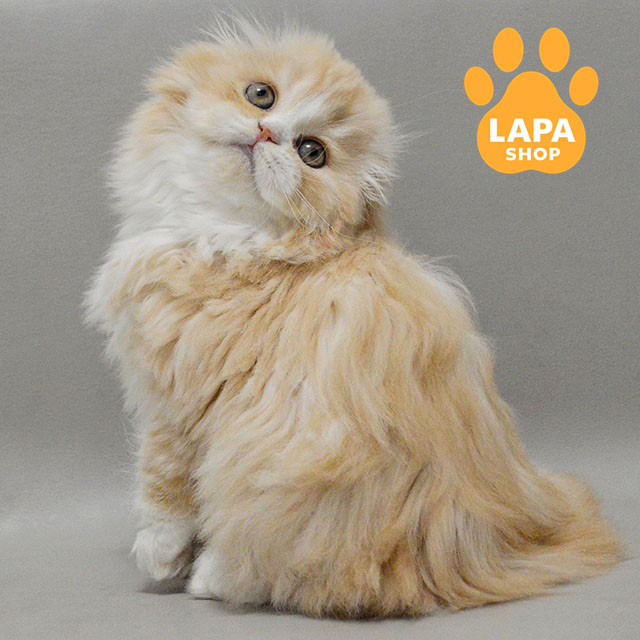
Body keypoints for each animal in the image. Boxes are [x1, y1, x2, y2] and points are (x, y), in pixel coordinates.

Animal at [85, 20, 622, 618]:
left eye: (312, 153)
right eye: (261, 94)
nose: (267, 131)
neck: (228, 239)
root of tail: (487, 554)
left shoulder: (177, 399)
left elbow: (162, 485)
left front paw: (160, 556)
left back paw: (210, 576)